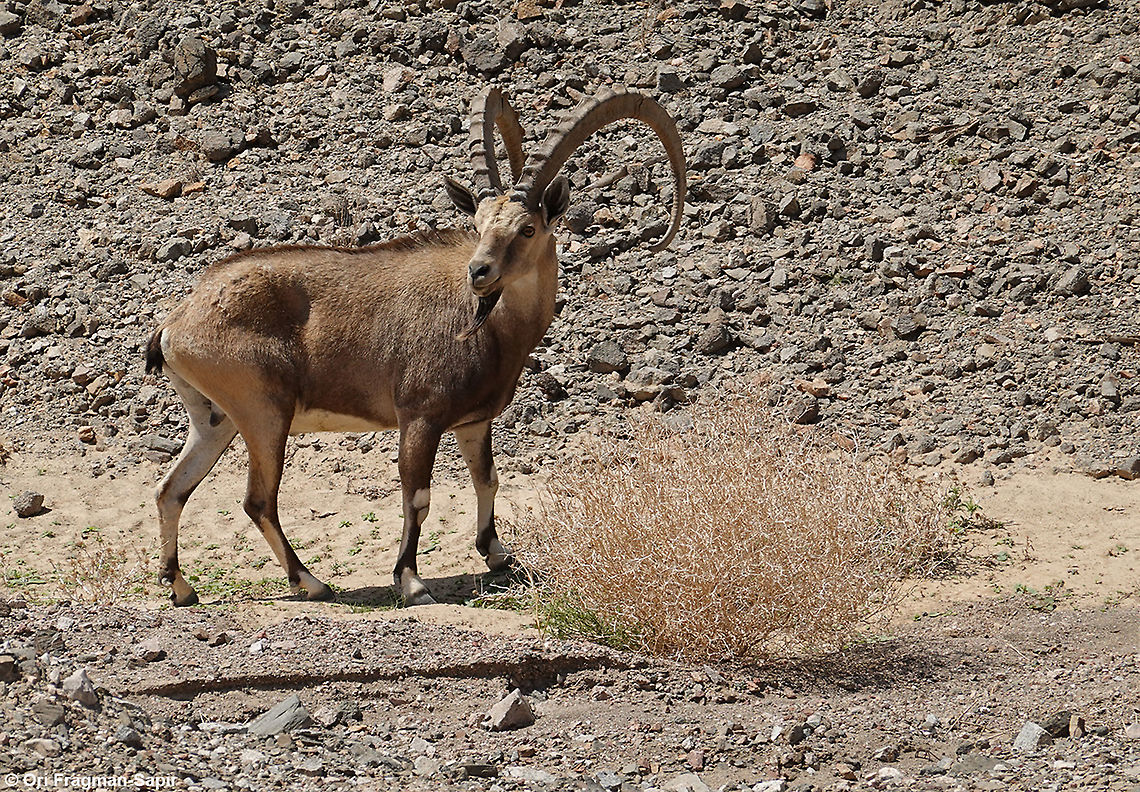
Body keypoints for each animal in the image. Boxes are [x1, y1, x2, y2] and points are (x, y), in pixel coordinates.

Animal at [145, 86, 687, 606]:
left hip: (215, 420)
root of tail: (175, 324)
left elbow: (487, 477)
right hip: (264, 413)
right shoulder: (420, 417)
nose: (479, 272)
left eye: (527, 227)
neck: (489, 328)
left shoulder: (473, 420)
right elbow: (417, 497)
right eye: (478, 224)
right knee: (258, 500)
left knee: (172, 490)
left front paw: (496, 554)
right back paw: (312, 583)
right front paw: (411, 582)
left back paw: (181, 588)